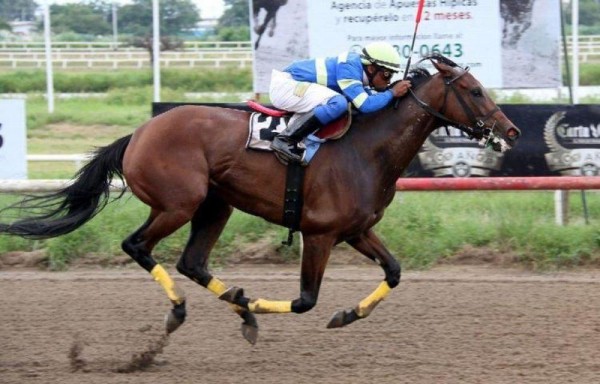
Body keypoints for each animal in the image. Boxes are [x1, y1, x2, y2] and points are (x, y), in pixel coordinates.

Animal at [0, 54, 520, 344]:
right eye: (474, 90)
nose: (511, 130)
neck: (366, 147)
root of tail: (140, 133)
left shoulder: (356, 230)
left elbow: (393, 271)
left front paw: (347, 314)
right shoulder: (320, 232)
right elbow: (305, 300)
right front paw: (270, 305)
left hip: (216, 205)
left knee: (192, 262)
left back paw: (239, 307)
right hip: (178, 203)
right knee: (138, 246)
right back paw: (184, 309)